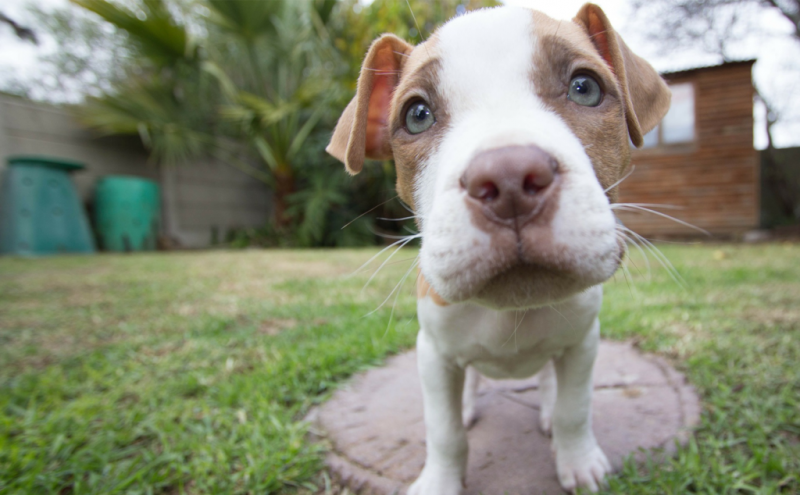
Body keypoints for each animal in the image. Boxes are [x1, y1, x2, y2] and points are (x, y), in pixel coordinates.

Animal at [324, 2, 668, 492]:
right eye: (417, 115)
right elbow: (444, 430)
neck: (511, 311)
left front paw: (579, 462)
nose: (508, 179)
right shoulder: (432, 354)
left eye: (585, 88)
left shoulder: (583, 343)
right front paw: (440, 480)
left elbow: (574, 409)